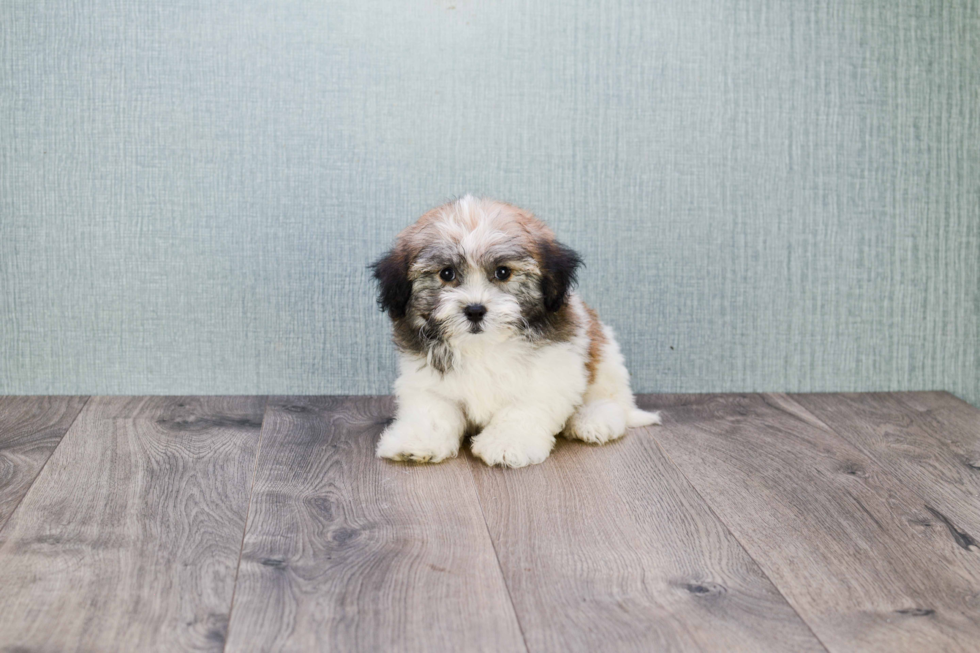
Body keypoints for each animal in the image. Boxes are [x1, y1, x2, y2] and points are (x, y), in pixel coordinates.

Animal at [372, 196, 664, 466]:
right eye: (446, 273)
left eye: (503, 272)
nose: (475, 309)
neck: (482, 346)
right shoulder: (425, 380)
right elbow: (432, 410)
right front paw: (416, 441)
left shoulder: (550, 373)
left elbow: (521, 409)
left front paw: (507, 444)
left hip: (607, 363)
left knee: (612, 401)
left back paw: (592, 421)